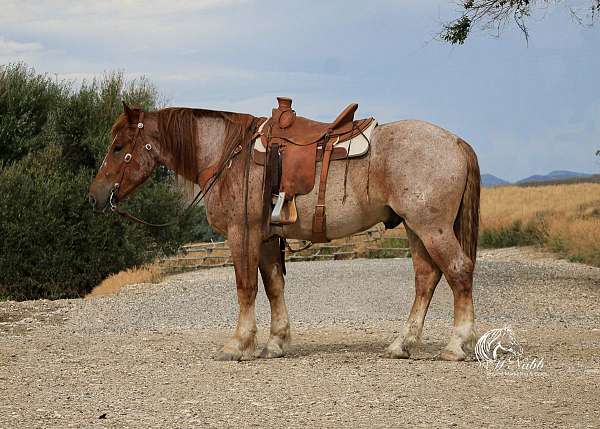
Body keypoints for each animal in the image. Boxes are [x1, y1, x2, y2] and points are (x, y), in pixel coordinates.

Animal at [89, 102, 480, 360]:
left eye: (119, 147)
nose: (95, 195)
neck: (229, 156)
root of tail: (455, 141)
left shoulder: (241, 232)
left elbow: (245, 286)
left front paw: (237, 344)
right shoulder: (265, 238)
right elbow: (273, 286)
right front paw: (275, 342)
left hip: (432, 228)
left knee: (457, 271)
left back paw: (456, 345)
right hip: (416, 228)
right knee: (426, 278)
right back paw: (402, 344)